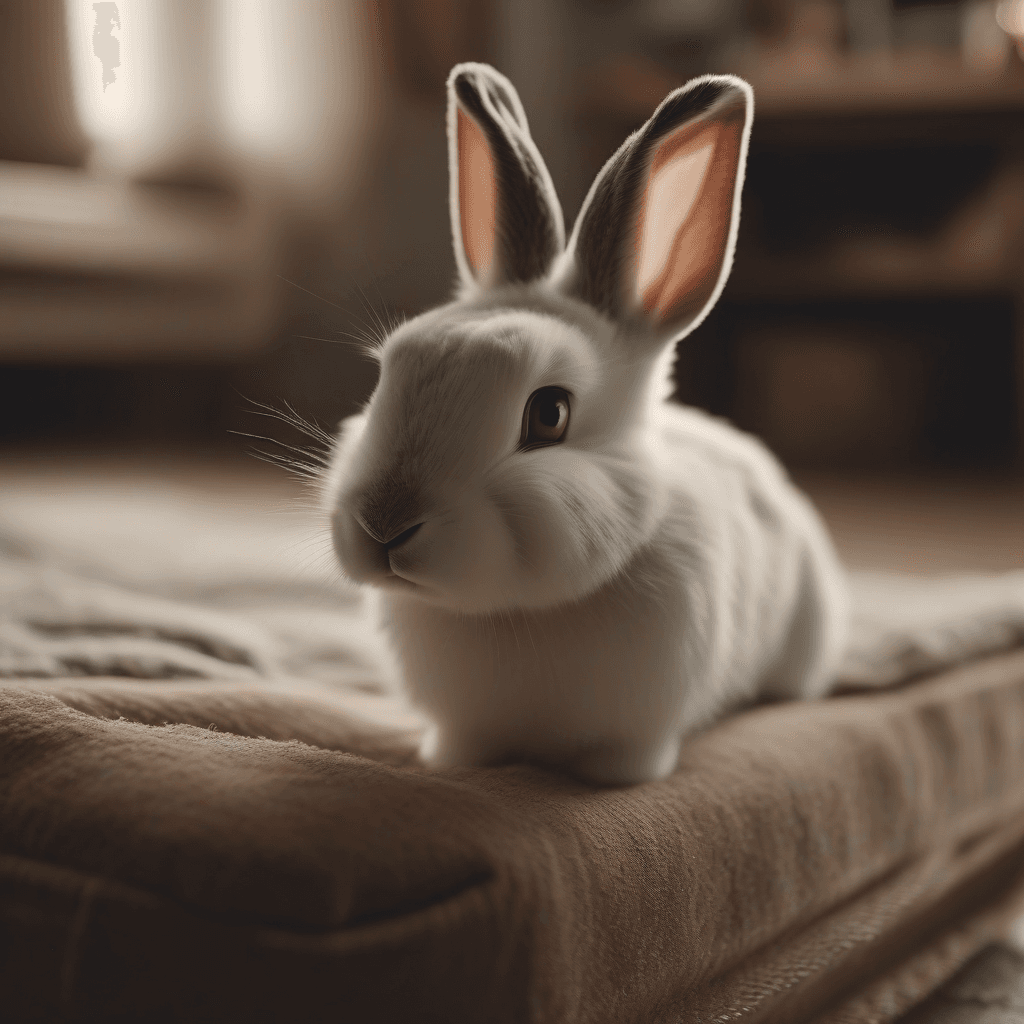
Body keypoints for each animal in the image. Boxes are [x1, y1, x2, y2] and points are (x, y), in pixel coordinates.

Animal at [323, 62, 849, 786]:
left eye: (549, 415)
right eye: (388, 373)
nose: (384, 523)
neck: (514, 613)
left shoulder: (641, 723)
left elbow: (626, 758)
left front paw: (611, 781)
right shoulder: (469, 723)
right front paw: (449, 765)